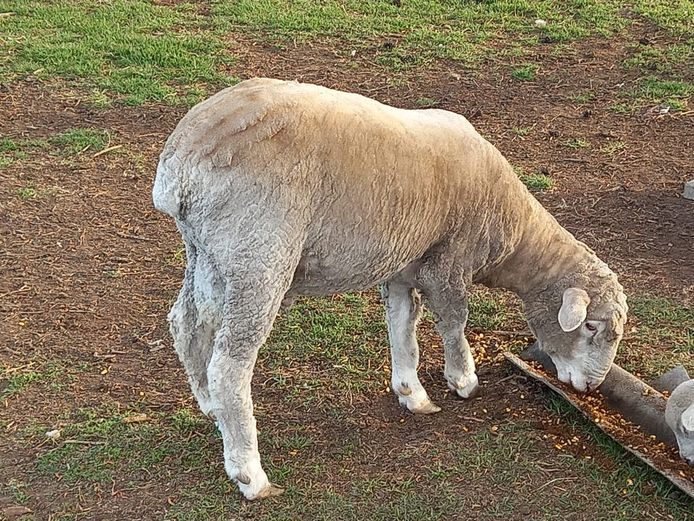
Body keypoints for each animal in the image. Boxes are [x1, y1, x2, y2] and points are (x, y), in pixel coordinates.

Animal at [152, 78, 632, 500]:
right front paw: (463, 380)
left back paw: (209, 406)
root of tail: (180, 163)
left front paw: (411, 392)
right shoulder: (449, 261)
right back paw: (249, 472)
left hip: (210, 253)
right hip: (257, 254)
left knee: (186, 325)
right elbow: (454, 322)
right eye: (590, 326)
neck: (511, 234)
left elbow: (404, 327)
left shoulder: (404, 264)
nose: (592, 386)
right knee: (230, 364)